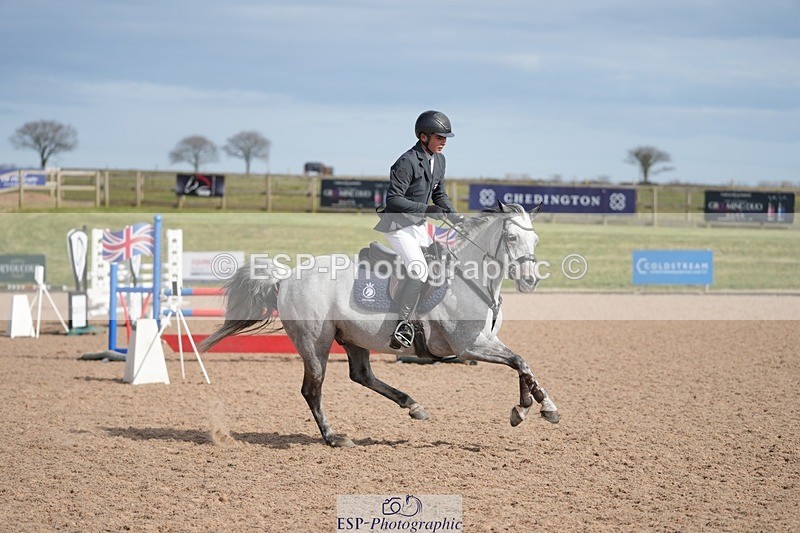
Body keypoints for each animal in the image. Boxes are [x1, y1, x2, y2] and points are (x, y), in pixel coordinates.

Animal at [200, 201, 559, 447]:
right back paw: (333, 437)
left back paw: (413, 405)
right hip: (315, 343)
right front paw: (538, 408)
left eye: (535, 240)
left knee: (362, 375)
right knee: (312, 389)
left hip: (353, 338)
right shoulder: (469, 345)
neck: (470, 279)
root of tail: (285, 278)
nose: (530, 281)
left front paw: (531, 407)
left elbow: (522, 365)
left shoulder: (484, 343)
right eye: (511, 237)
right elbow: (519, 361)